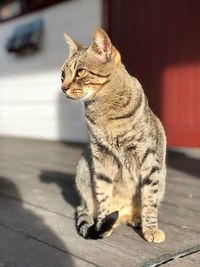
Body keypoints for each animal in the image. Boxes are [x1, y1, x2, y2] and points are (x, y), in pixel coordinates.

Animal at [60, 26, 166, 243]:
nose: (63, 87)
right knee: (89, 207)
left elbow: (150, 200)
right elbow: (103, 196)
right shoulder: (101, 157)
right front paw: (102, 223)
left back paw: (136, 218)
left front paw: (151, 229)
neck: (104, 112)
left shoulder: (148, 158)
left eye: (80, 72)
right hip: (83, 170)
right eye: (62, 74)